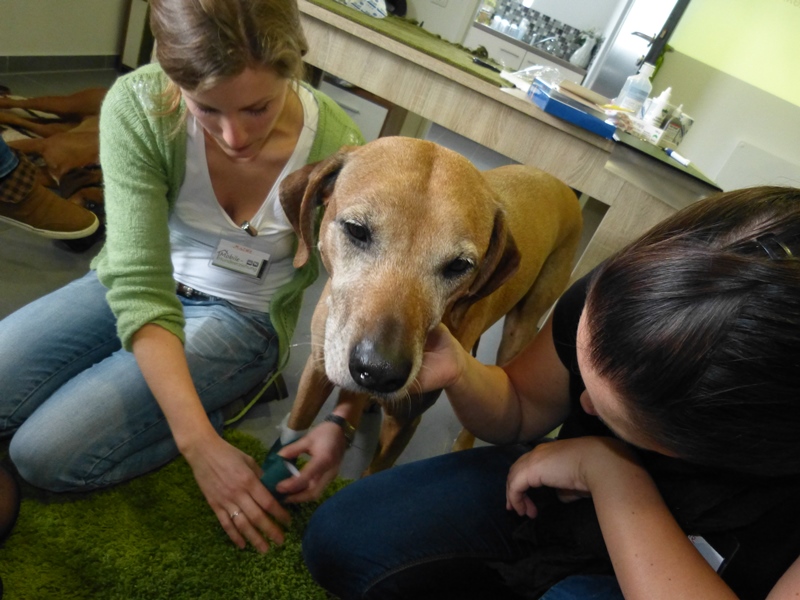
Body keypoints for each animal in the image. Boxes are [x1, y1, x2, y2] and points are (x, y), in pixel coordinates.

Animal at [278, 137, 583, 475]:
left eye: (459, 265)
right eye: (356, 230)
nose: (379, 372)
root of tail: (564, 186)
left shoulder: (405, 420)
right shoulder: (317, 368)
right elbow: (296, 427)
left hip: (521, 331)